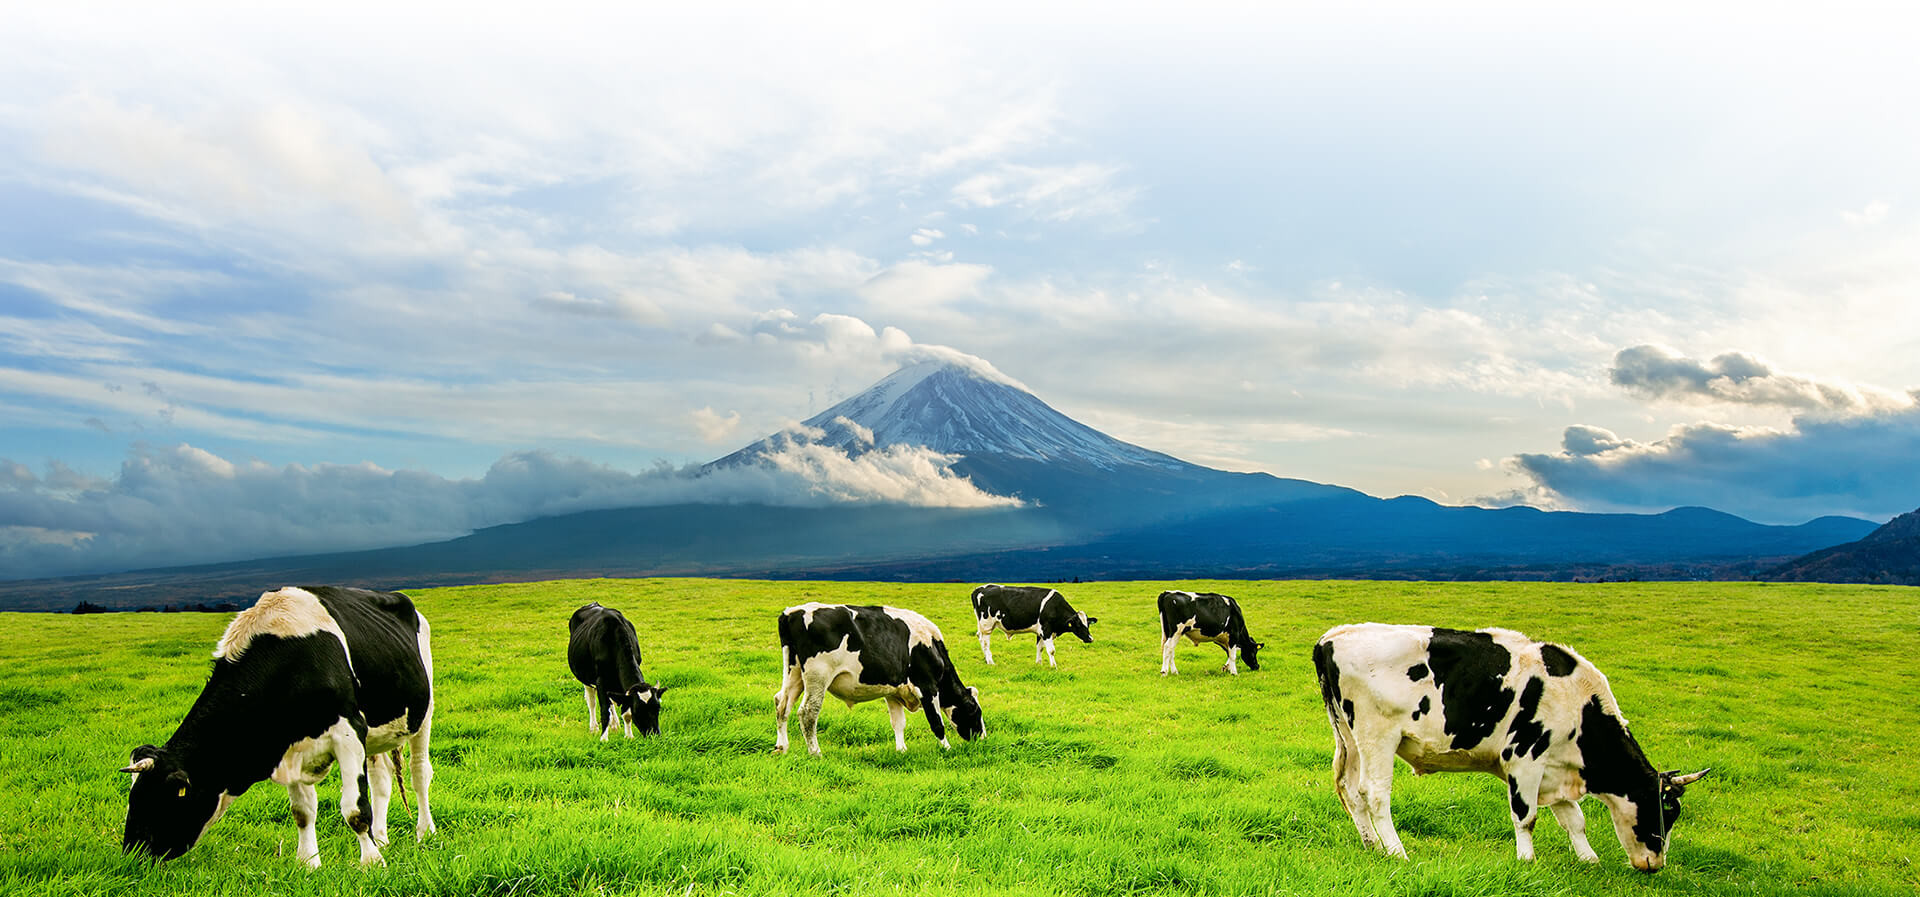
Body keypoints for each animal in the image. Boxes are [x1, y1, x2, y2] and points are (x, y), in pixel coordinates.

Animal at [120, 587, 435, 868]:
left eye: (157, 799)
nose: (132, 855)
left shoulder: (348, 731)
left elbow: (355, 809)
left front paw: (372, 863)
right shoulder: (288, 745)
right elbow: (302, 811)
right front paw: (308, 863)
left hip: (424, 713)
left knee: (419, 773)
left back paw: (424, 833)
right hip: (377, 734)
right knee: (382, 777)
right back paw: (381, 838)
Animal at [560, 599, 668, 741]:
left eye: (658, 708)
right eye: (638, 710)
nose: (654, 734)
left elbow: (624, 711)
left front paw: (628, 736)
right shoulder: (600, 680)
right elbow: (604, 709)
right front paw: (603, 739)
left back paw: (615, 725)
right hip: (585, 678)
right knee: (591, 701)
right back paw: (594, 728)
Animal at [771, 603, 983, 756]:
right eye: (974, 710)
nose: (982, 738)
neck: (933, 647)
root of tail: (792, 612)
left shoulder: (894, 692)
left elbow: (898, 722)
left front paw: (901, 750)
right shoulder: (927, 686)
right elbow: (936, 722)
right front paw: (947, 748)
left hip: (794, 671)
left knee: (782, 704)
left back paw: (782, 748)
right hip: (818, 675)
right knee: (807, 712)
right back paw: (815, 752)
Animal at [1305, 626, 1712, 872]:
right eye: (1667, 810)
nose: (1656, 863)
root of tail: (1330, 638)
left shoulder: (1553, 769)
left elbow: (1574, 819)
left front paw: (1588, 858)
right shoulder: (1525, 758)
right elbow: (1526, 816)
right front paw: (1527, 860)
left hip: (1348, 737)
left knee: (1349, 790)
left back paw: (1372, 845)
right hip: (1377, 735)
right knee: (1374, 794)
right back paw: (1395, 850)